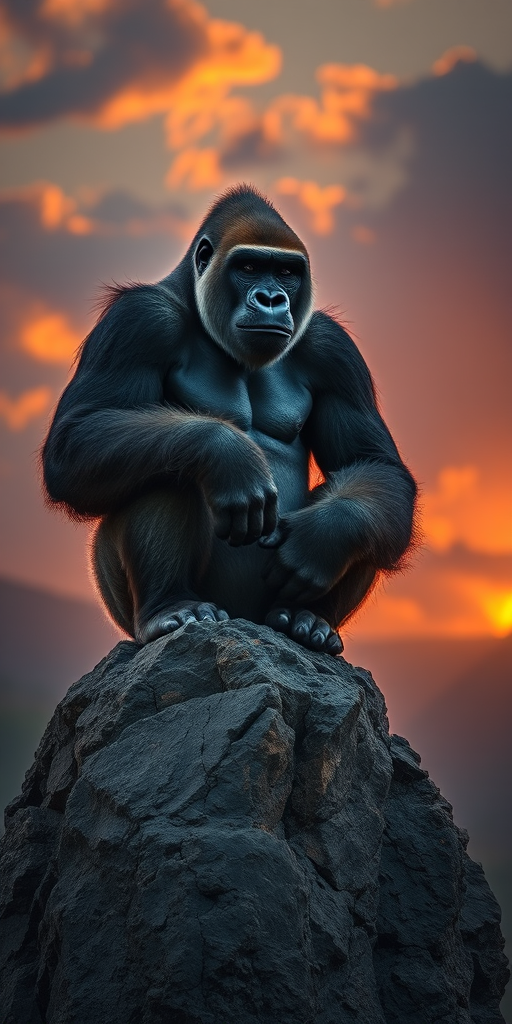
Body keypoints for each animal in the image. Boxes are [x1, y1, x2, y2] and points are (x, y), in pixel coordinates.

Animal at [42, 184, 417, 656]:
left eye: (286, 272)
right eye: (250, 266)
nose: (272, 299)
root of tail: (246, 622)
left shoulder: (333, 348)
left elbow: (373, 464)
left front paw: (324, 537)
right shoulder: (139, 319)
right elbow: (76, 437)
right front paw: (227, 454)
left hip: (266, 612)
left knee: (362, 498)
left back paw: (308, 620)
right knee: (165, 465)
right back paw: (170, 607)